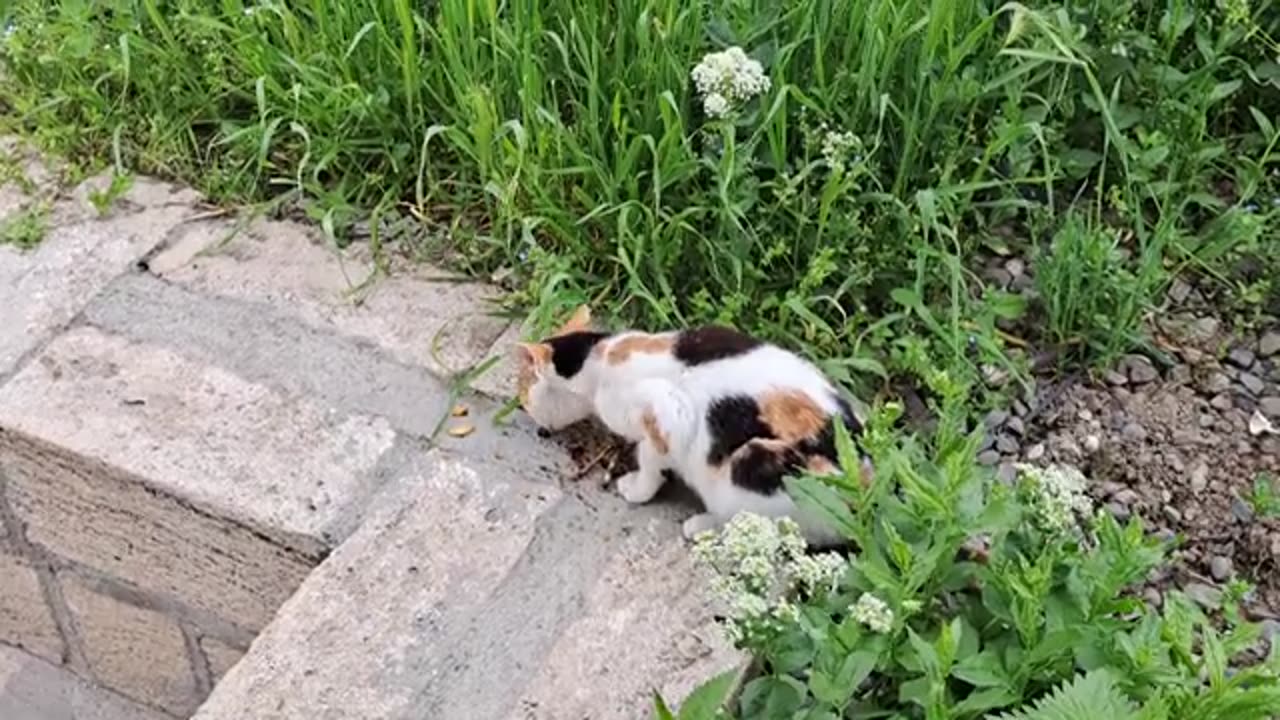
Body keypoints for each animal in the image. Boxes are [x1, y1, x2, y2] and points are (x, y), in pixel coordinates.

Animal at [514, 302, 865, 543]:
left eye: (523, 393)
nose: (531, 418)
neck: (600, 359)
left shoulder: (665, 412)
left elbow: (650, 458)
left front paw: (637, 489)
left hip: (749, 465)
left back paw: (700, 526)